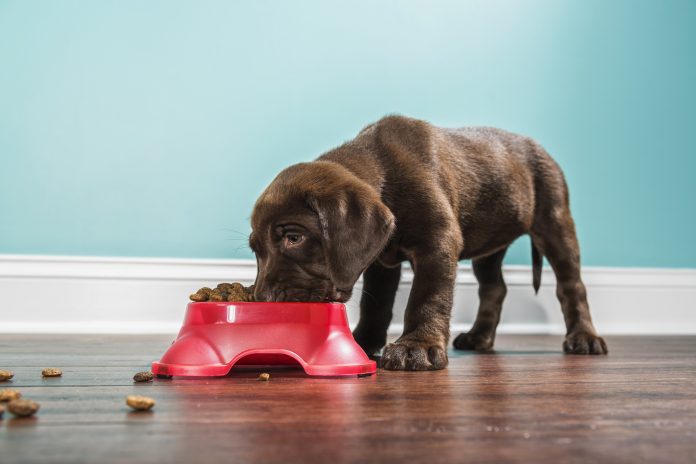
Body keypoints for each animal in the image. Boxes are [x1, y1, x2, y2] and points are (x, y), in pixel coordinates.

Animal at [247, 115, 608, 370]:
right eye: (256, 250)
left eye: (294, 237)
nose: (261, 299)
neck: (383, 171)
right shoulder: (380, 260)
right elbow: (376, 305)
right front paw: (364, 341)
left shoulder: (438, 242)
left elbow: (426, 296)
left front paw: (416, 347)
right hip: (489, 246)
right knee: (494, 287)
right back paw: (479, 337)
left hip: (554, 219)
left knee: (571, 285)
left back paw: (584, 338)